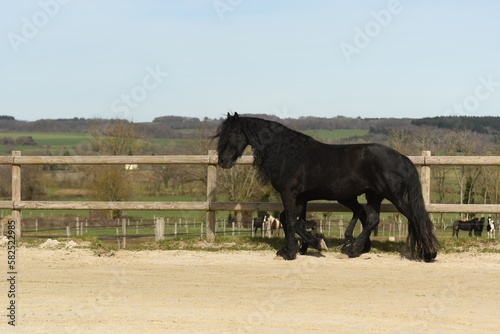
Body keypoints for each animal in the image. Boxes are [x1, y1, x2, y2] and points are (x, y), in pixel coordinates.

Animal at [213, 113, 440, 262]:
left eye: (232, 133)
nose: (222, 161)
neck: (288, 153)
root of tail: (401, 157)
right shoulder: (300, 197)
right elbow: (294, 221)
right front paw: (302, 246)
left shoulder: (289, 194)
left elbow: (290, 221)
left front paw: (295, 250)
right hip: (373, 195)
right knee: (372, 219)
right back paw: (353, 250)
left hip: (394, 196)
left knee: (414, 216)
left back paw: (428, 253)